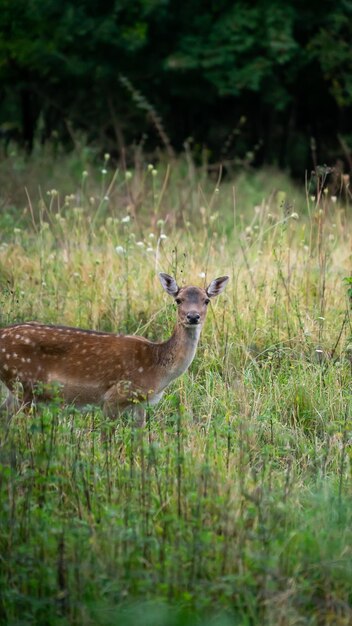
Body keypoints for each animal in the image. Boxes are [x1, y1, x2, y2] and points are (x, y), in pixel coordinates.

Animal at [0, 270, 228, 422]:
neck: (157, 369)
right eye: (178, 300)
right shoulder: (114, 396)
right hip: (24, 385)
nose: (193, 316)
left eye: (206, 300)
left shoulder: (141, 403)